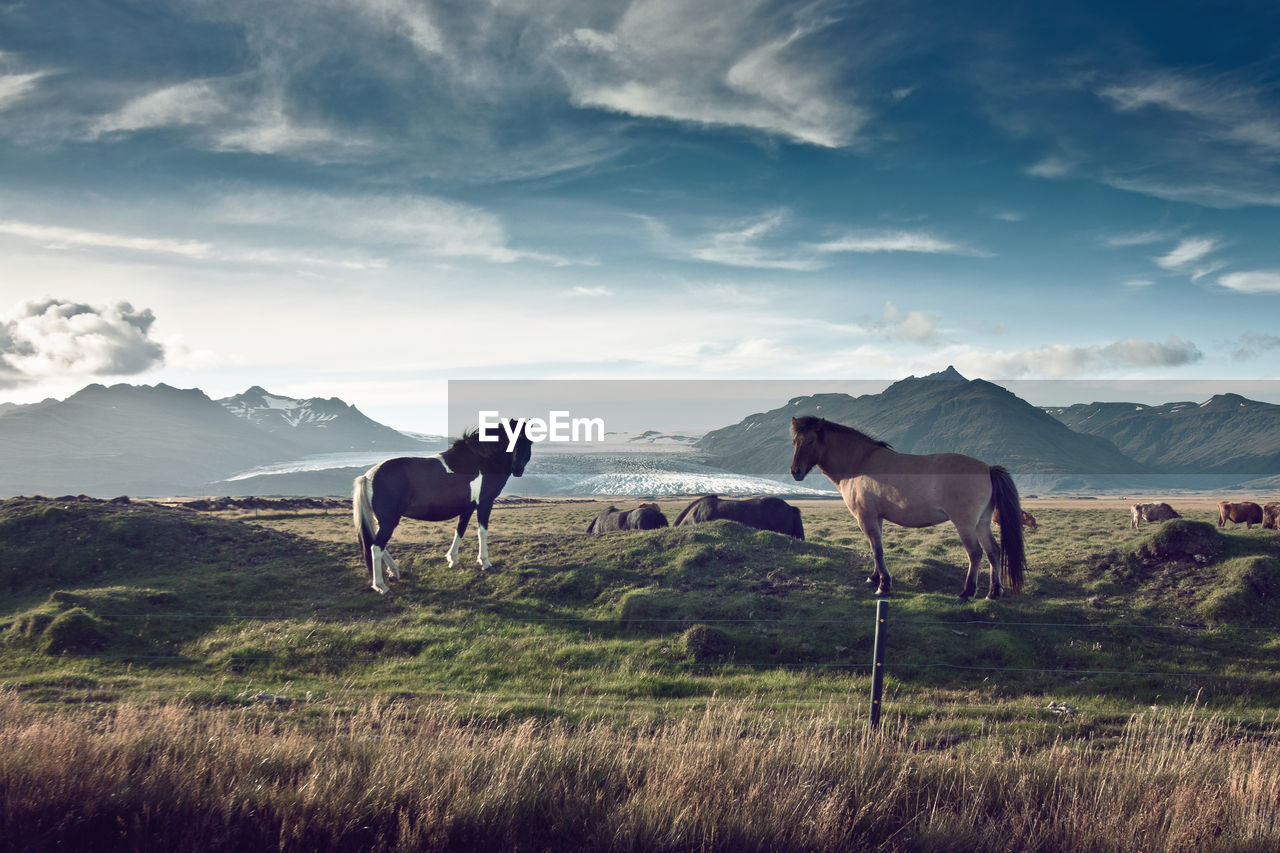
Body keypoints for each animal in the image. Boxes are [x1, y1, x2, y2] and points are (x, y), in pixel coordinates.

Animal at [350, 420, 529, 591]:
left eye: (526, 440)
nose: (518, 469)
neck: (481, 460)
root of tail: (367, 477)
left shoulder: (468, 508)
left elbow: (460, 530)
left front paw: (453, 559)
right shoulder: (485, 503)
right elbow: (482, 532)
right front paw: (485, 562)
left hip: (383, 521)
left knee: (376, 543)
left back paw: (393, 571)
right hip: (389, 521)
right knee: (376, 547)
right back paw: (380, 586)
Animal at [788, 414, 1029, 601]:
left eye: (810, 441)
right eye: (794, 442)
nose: (795, 471)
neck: (859, 464)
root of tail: (988, 468)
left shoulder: (865, 517)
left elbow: (877, 550)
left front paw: (883, 586)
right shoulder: (876, 518)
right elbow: (876, 549)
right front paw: (874, 578)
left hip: (965, 524)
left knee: (975, 553)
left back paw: (966, 593)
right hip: (982, 523)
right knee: (993, 551)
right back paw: (994, 592)